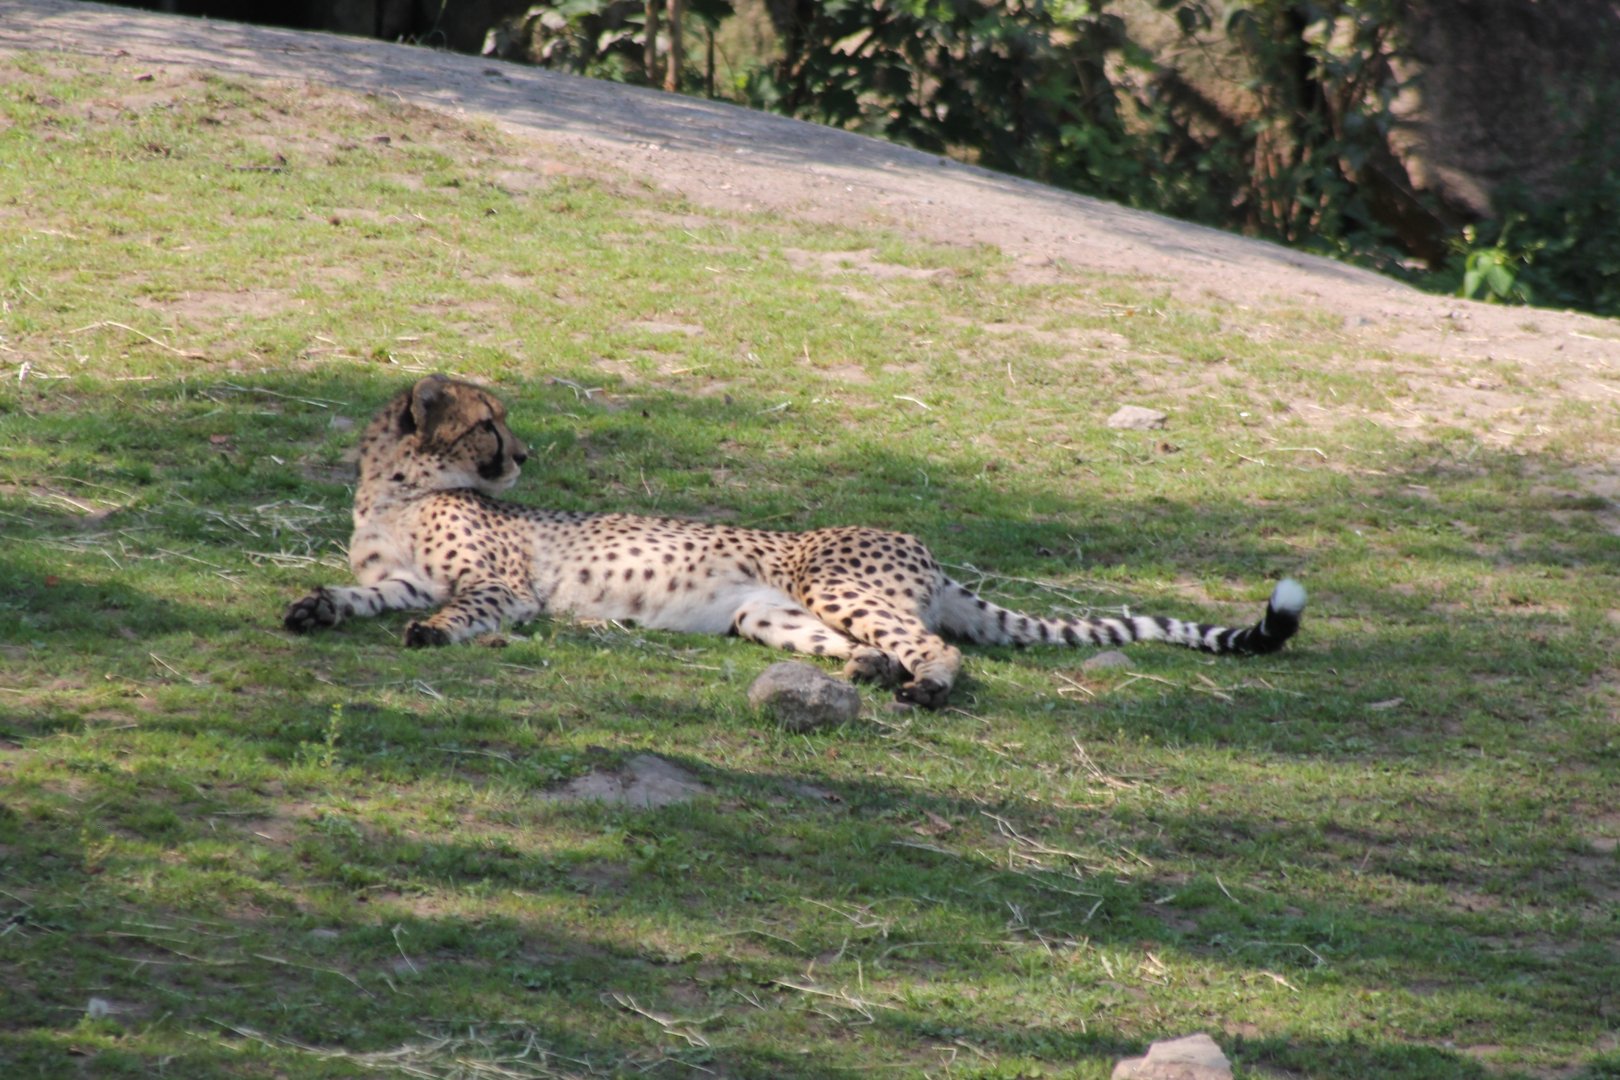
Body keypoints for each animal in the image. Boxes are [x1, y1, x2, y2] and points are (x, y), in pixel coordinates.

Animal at [284, 375, 1305, 709]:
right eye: (489, 423)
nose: (526, 454)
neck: (397, 487)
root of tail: (922, 547)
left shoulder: (502, 586)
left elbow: (461, 611)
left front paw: (432, 637)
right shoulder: (400, 577)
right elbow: (363, 593)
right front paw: (312, 607)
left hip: (837, 584)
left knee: (936, 644)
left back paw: (926, 687)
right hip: (764, 618)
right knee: (865, 647)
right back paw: (870, 675)